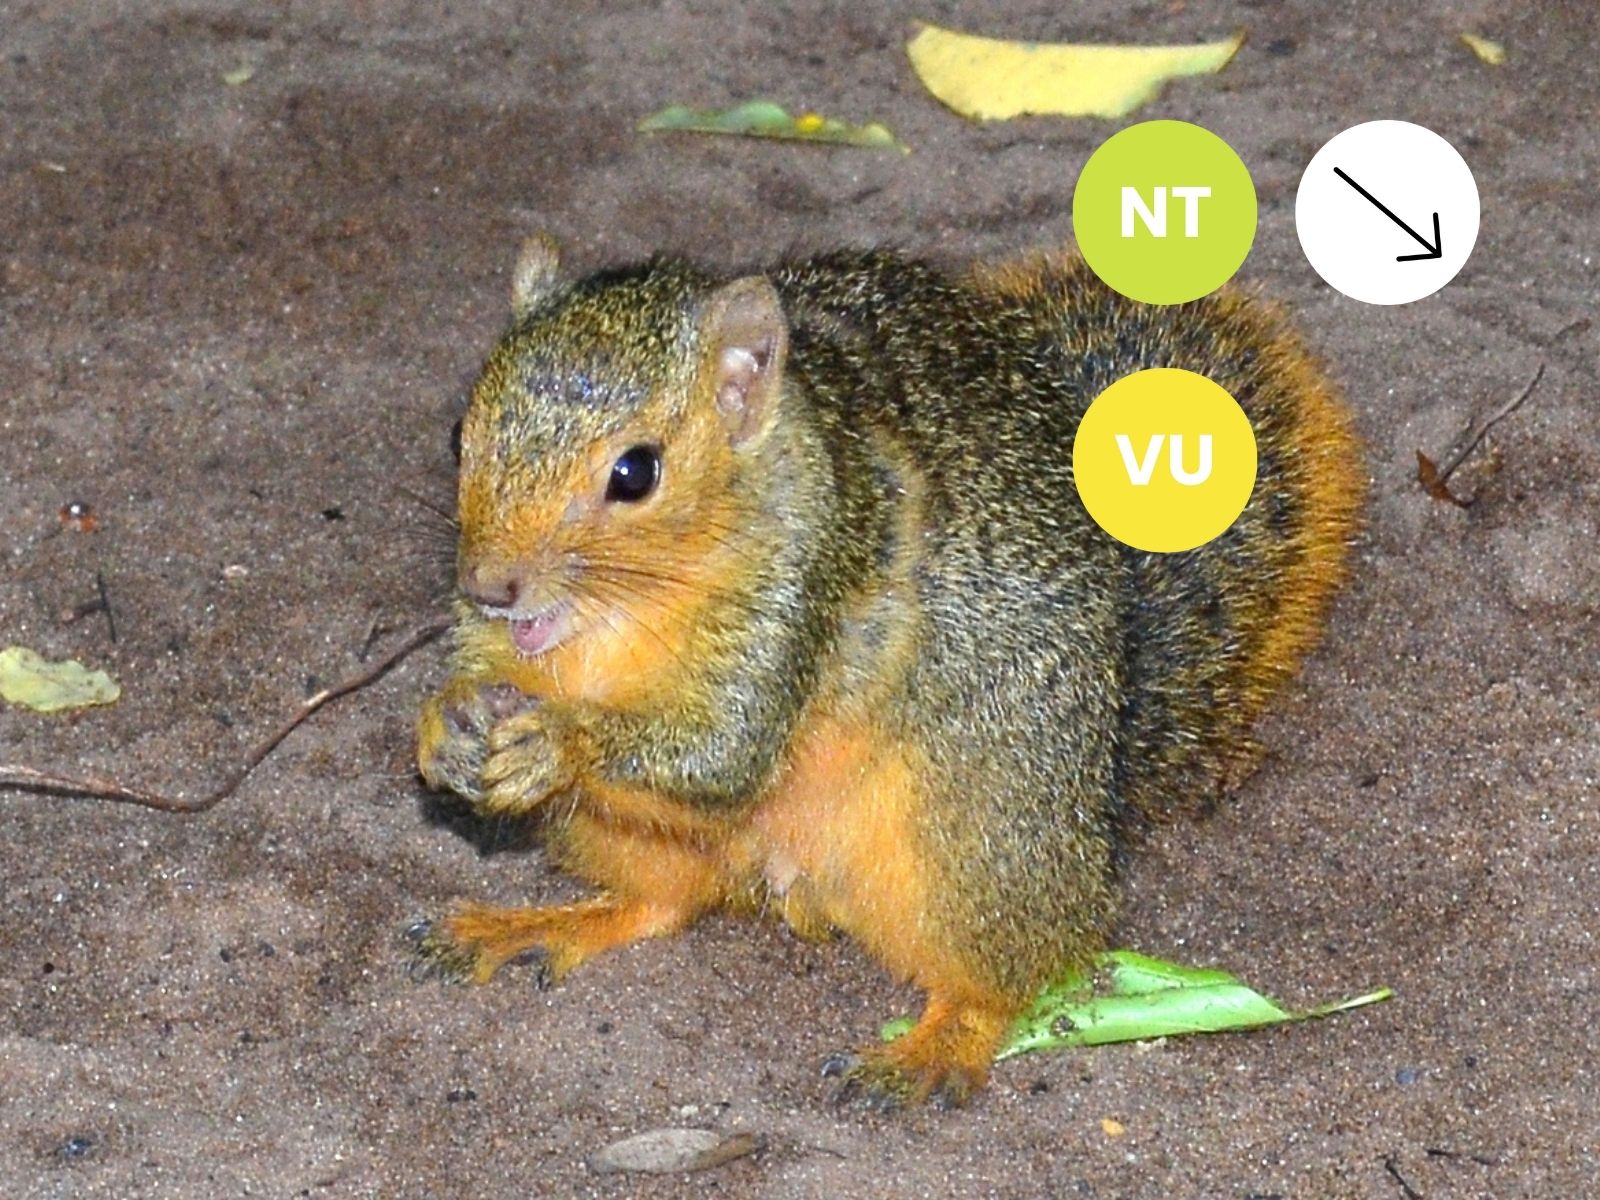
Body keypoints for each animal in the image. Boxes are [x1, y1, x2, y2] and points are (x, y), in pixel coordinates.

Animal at [411, 235, 1363, 1106]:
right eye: (461, 435)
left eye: (635, 472)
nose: (489, 585)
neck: (611, 625)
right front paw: (442, 731)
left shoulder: (810, 583)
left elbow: (726, 752)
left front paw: (555, 743)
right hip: (627, 835)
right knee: (664, 901)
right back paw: (536, 925)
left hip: (979, 832)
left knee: (1014, 972)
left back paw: (935, 1047)